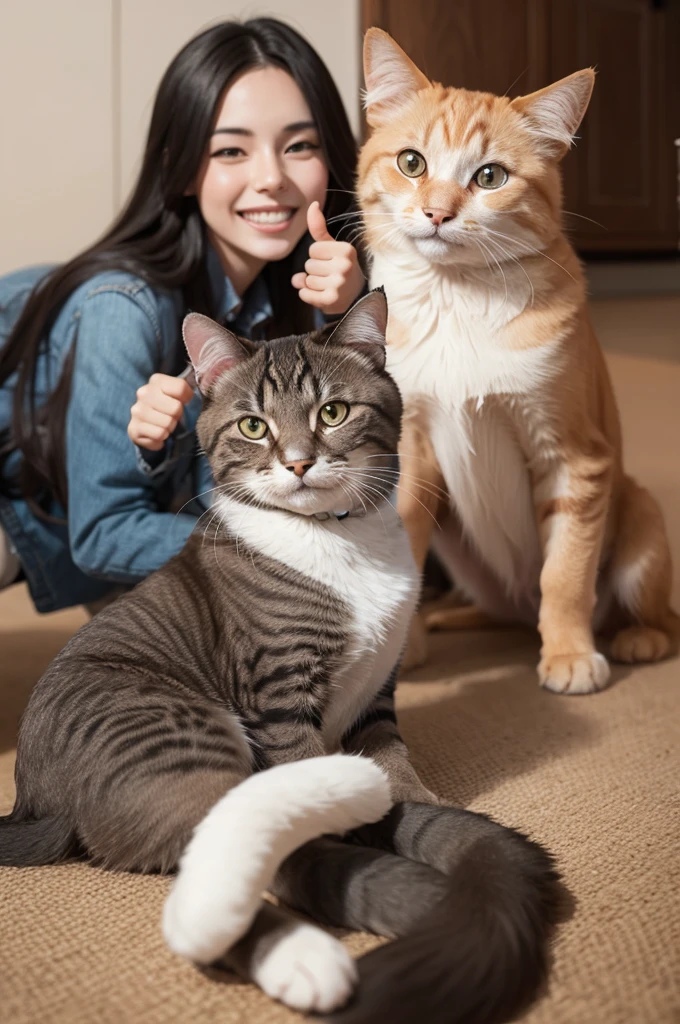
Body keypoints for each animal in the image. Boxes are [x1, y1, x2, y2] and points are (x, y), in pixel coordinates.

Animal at [0, 292, 557, 1024]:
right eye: (253, 426)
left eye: (333, 412)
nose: (296, 462)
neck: (341, 543)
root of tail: (34, 799)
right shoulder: (279, 694)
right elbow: (311, 784)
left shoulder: (379, 694)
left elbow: (395, 764)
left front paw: (409, 802)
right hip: (178, 736)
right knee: (217, 861)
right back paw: (306, 955)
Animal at [358, 29, 675, 696]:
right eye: (412, 163)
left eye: (490, 175)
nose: (438, 213)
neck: (457, 303)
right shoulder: (411, 446)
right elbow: (404, 543)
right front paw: (402, 648)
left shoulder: (574, 458)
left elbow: (565, 573)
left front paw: (569, 654)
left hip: (640, 521)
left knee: (659, 617)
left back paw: (636, 637)